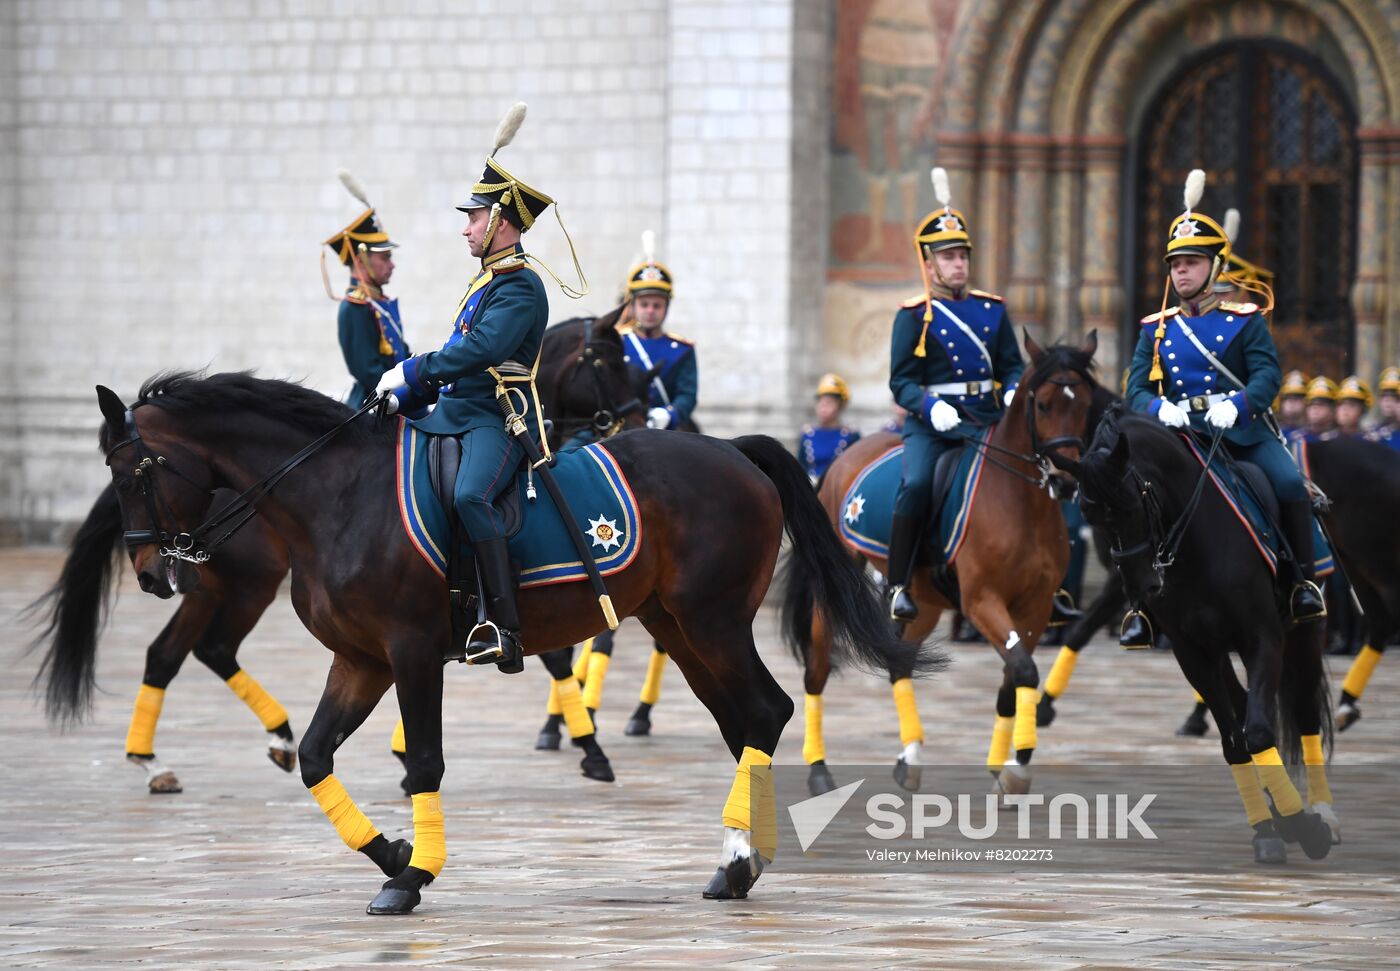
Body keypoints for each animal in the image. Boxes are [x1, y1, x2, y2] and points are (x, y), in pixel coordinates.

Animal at [93, 372, 935, 912]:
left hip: (713, 619)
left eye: (136, 470)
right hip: (678, 623)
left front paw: (412, 873)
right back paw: (740, 859)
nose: (149, 569)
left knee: (764, 711)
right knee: (746, 721)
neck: (337, 496)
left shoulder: (408, 651)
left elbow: (424, 760)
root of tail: (731, 450)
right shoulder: (359, 659)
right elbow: (314, 756)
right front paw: (394, 852)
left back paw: (736, 859)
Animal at [789, 334, 1092, 800]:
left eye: (1087, 404)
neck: (1022, 504)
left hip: (926, 602)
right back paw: (820, 770)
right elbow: (1023, 668)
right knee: (817, 669)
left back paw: (910, 758)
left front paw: (1006, 766)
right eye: (1042, 404)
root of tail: (845, 457)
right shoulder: (982, 601)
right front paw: (1017, 769)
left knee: (899, 664)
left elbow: (1013, 679)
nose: (1065, 480)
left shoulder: (1036, 607)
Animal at [1064, 411, 1338, 867]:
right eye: (1089, 511)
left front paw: (1306, 826)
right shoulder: (1192, 653)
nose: (1141, 586)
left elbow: (1258, 732)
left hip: (1303, 633)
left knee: (1304, 714)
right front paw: (1269, 828)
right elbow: (1235, 741)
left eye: (1133, 498)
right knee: (1248, 707)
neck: (1196, 548)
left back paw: (1323, 812)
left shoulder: (1263, 638)